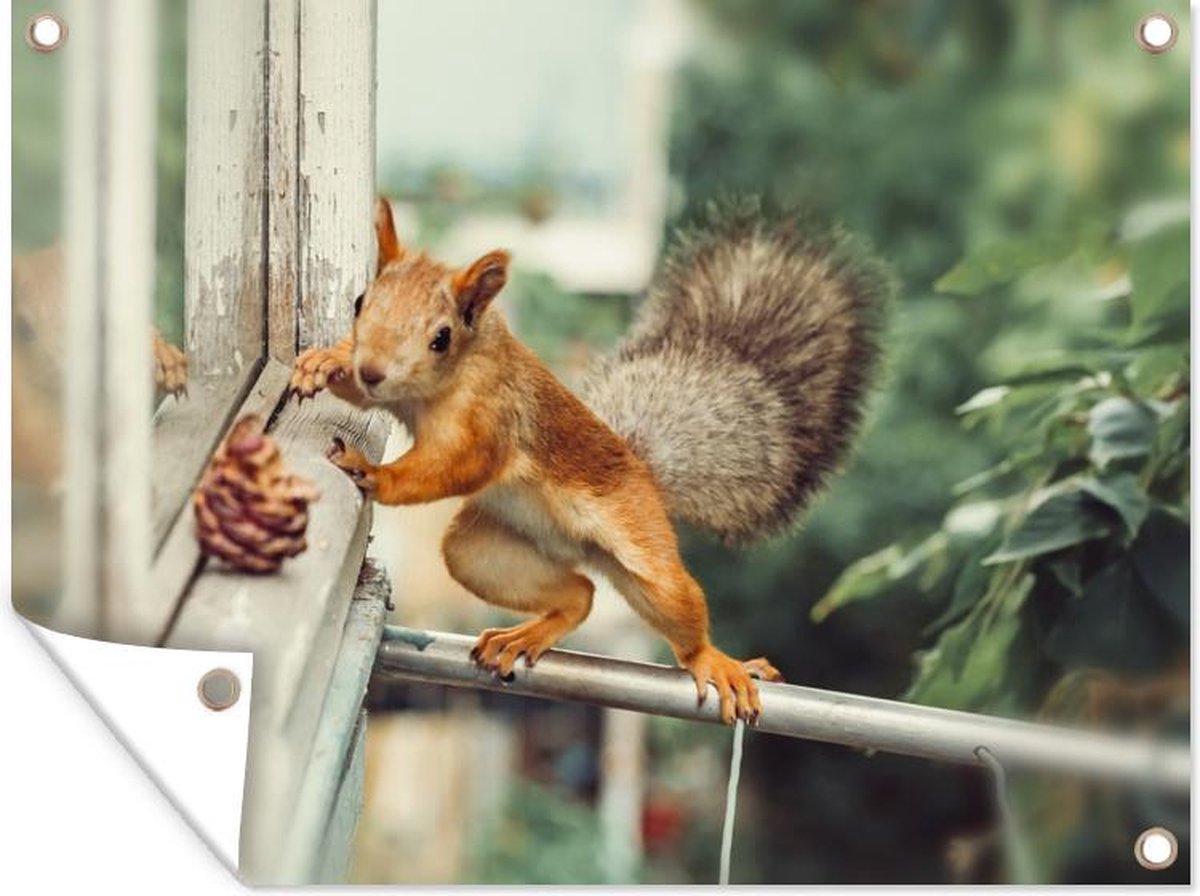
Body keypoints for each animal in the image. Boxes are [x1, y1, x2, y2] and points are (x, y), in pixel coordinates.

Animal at [290, 197, 892, 729]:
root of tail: (644, 471)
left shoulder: (491, 422)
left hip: (645, 554)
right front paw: (323, 364)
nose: (371, 369)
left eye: (441, 337)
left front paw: (375, 472)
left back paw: (715, 660)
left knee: (676, 611)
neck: (448, 377)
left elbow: (455, 466)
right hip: (481, 552)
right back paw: (524, 634)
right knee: (580, 593)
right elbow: (359, 397)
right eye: (359, 303)